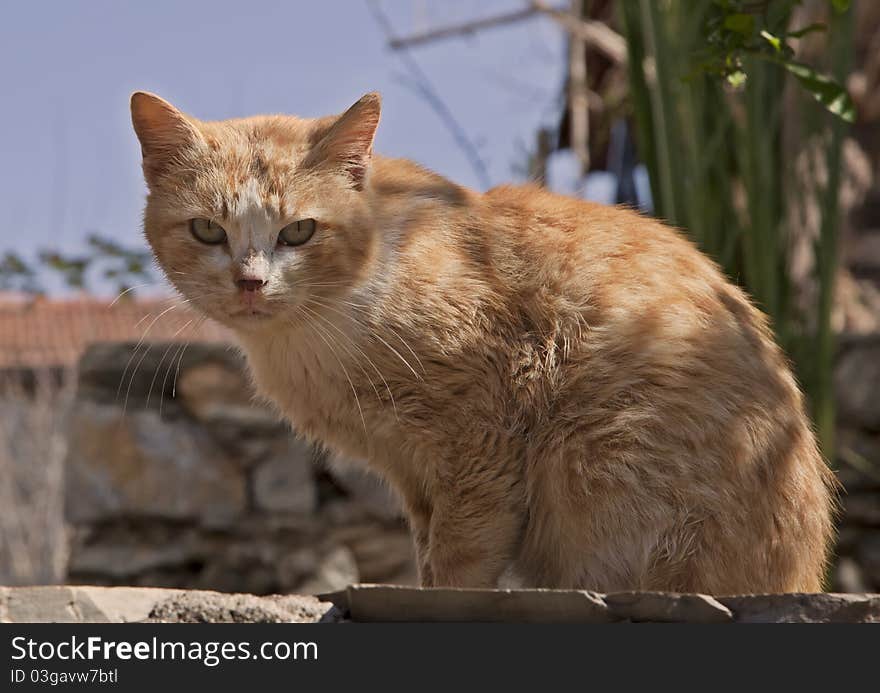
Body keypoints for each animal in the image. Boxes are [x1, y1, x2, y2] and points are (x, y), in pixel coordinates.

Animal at [129, 90, 832, 588]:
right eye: (207, 230)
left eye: (298, 231)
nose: (250, 282)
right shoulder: (414, 476)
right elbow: (427, 554)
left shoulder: (481, 435)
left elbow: (461, 560)